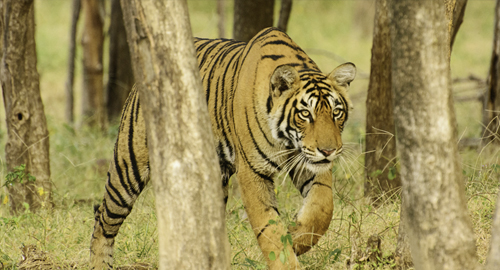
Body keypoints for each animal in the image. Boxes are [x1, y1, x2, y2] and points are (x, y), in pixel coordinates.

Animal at [91, 26, 356, 268]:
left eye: (336, 112)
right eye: (305, 114)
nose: (329, 151)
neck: (287, 140)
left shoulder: (307, 162)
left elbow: (322, 208)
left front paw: (295, 235)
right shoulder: (253, 171)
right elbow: (269, 229)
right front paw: (286, 254)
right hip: (129, 167)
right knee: (103, 217)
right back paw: (99, 263)